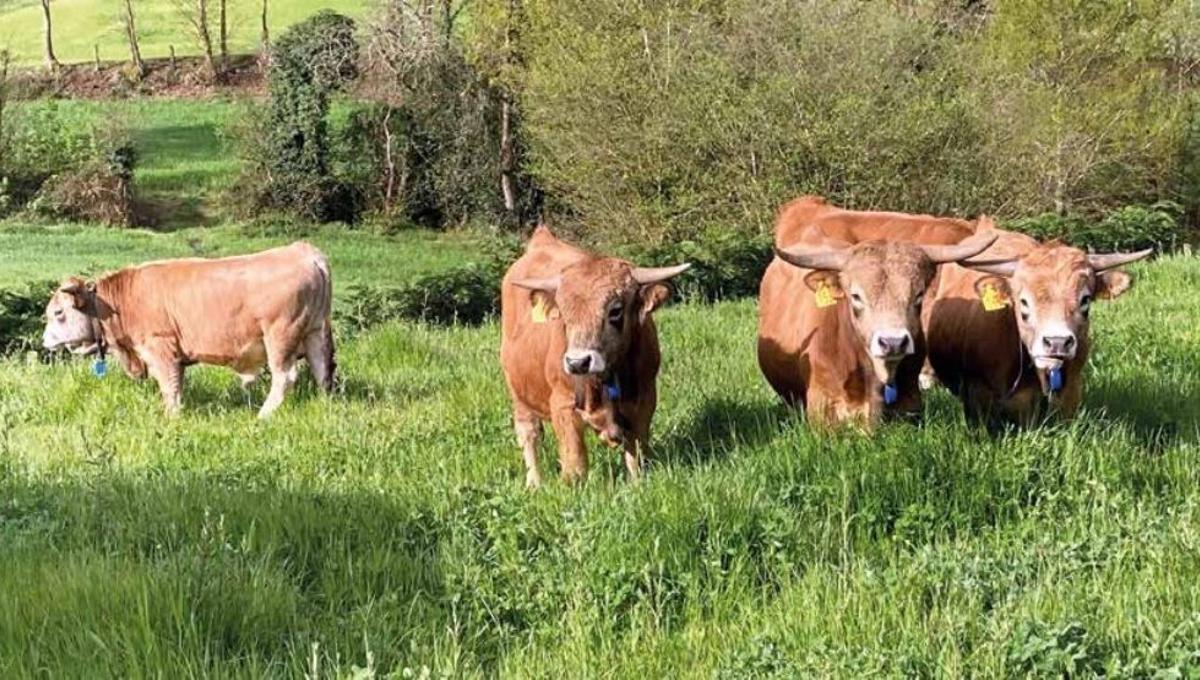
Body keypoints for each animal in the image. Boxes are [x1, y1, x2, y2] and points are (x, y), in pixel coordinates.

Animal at [41, 241, 335, 418]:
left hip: (280, 336)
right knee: (322, 370)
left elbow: (169, 387)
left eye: (58, 313)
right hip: (315, 331)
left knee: (285, 376)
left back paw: (263, 416)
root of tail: (303, 251)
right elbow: (178, 385)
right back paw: (323, 406)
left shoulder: (160, 348)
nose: (44, 341)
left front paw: (171, 419)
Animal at [500, 225, 690, 488]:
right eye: (563, 314)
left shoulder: (644, 401)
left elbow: (636, 456)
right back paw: (534, 483)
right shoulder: (563, 406)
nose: (577, 362)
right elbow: (575, 464)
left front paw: (637, 486)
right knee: (529, 434)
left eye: (616, 310)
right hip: (518, 392)